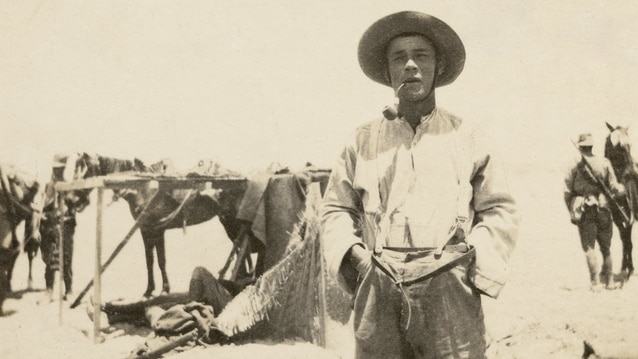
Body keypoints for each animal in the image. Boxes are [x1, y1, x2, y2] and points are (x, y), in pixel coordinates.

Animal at [69, 154, 250, 298]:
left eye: (85, 170)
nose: (74, 200)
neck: (143, 188)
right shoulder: (146, 230)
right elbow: (150, 260)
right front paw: (149, 290)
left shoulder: (156, 230)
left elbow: (160, 260)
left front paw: (163, 289)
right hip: (228, 222)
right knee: (241, 248)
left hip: (233, 223)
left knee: (242, 248)